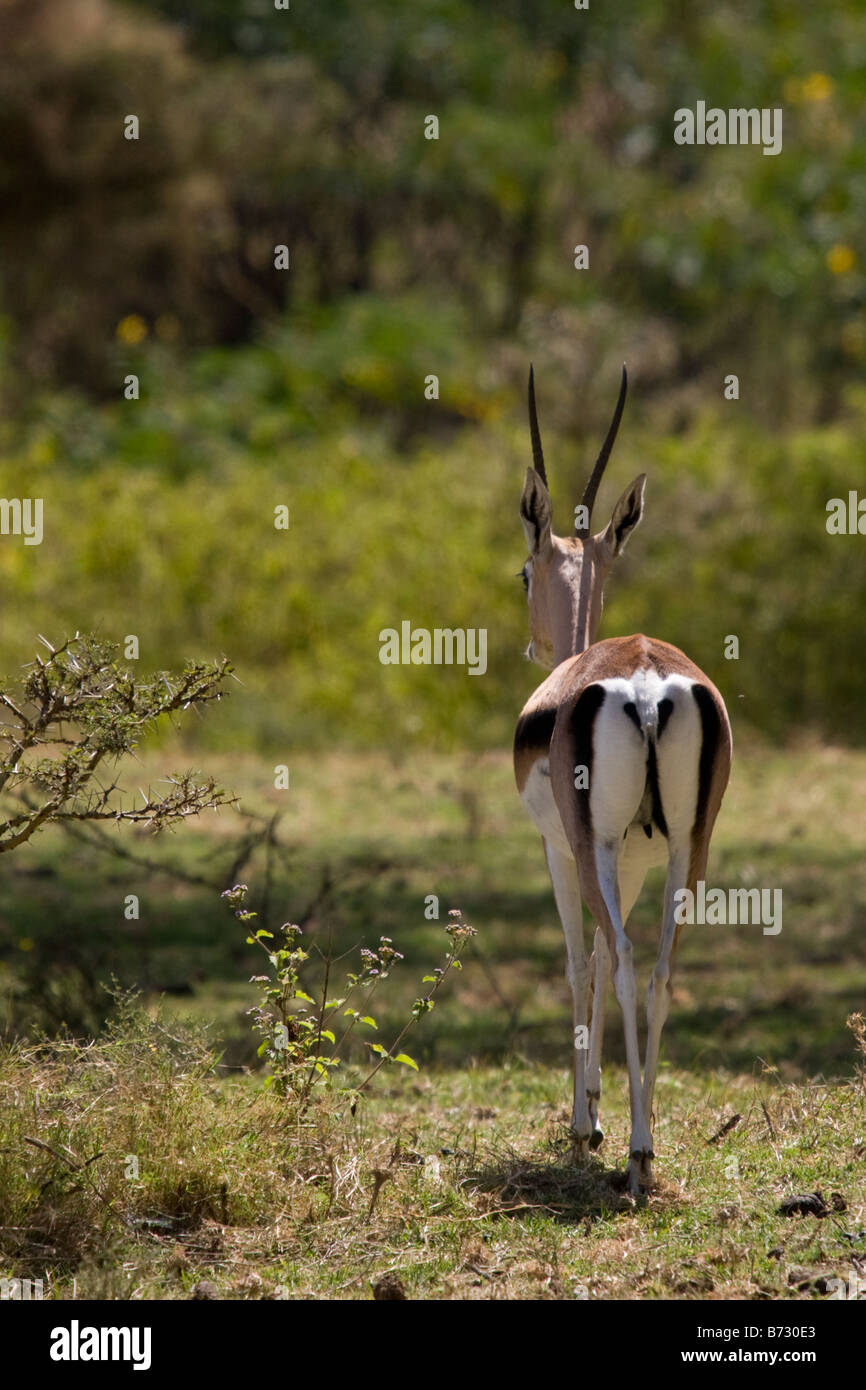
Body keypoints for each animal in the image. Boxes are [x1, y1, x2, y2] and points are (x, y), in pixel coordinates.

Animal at [513, 366, 732, 1194]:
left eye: (523, 571)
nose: (534, 643)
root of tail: (640, 676)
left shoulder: (562, 849)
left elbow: (582, 961)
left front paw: (586, 1122)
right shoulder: (636, 856)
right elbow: (607, 960)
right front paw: (606, 1106)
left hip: (597, 848)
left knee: (632, 958)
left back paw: (636, 1152)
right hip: (687, 850)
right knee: (661, 964)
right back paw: (648, 1143)